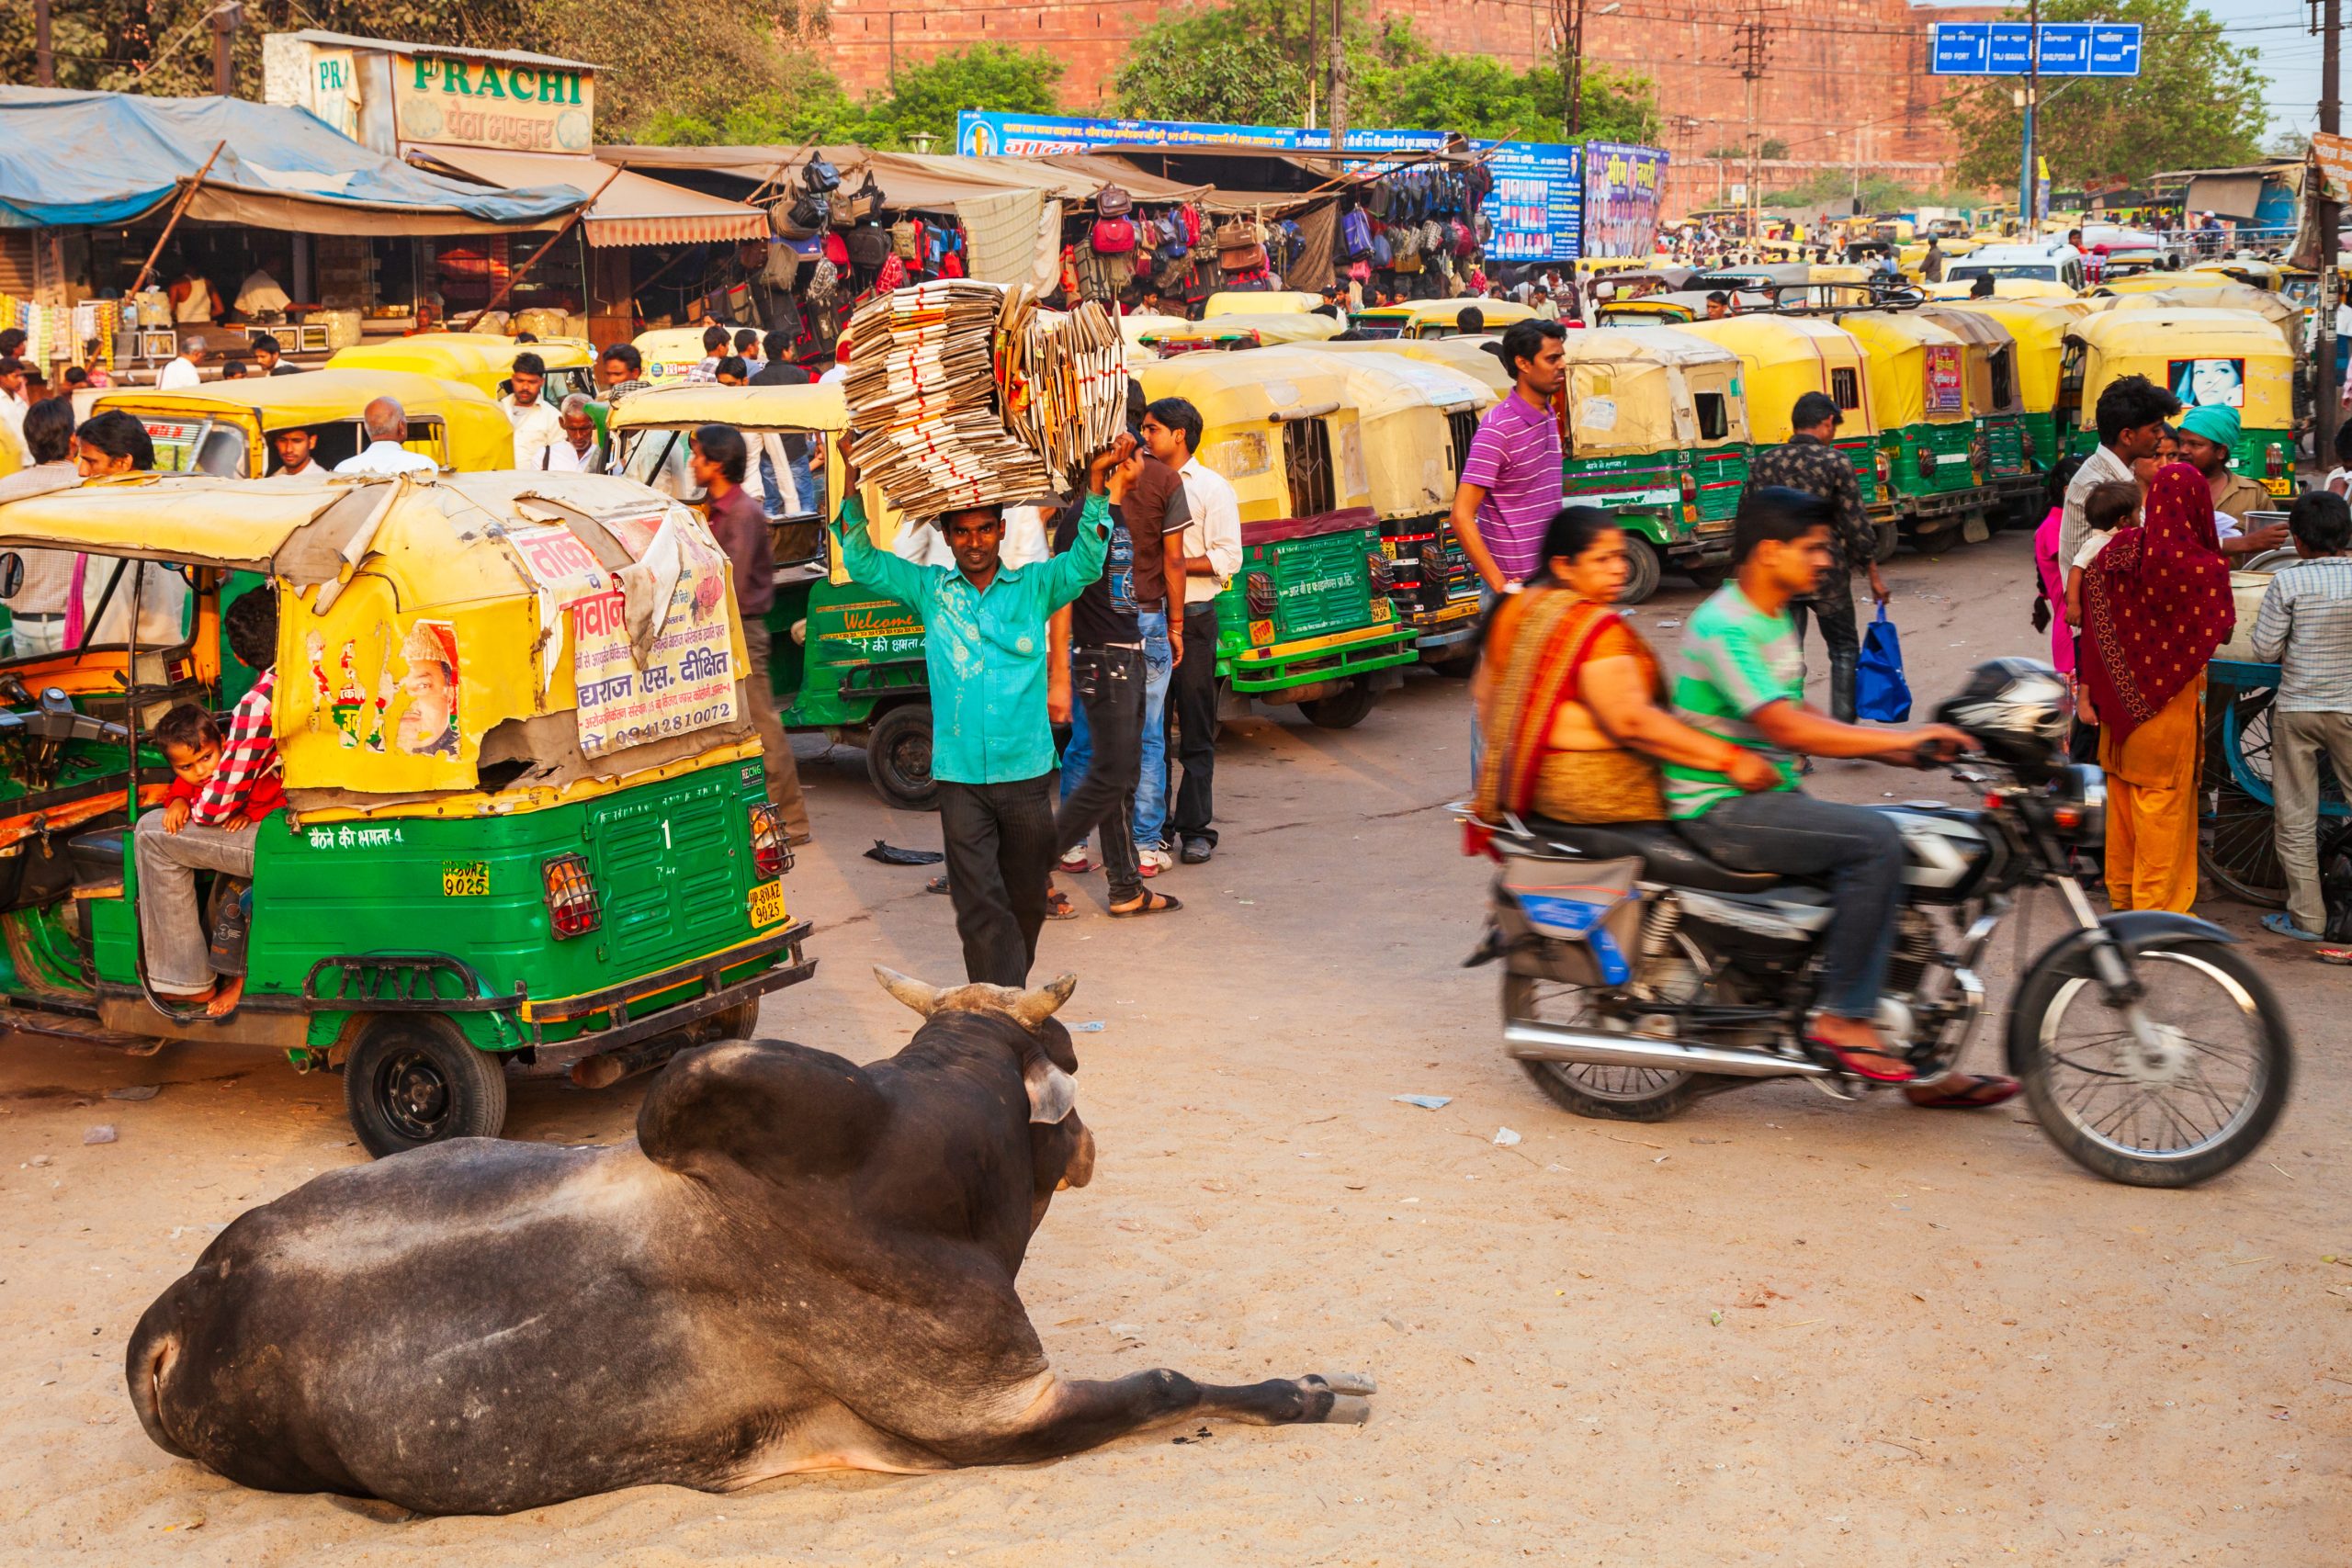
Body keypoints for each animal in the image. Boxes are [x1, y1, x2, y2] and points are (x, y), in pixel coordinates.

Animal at [124, 973, 1374, 1514]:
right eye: (1067, 1053)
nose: (1089, 1149)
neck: (926, 1175)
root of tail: (173, 1318)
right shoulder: (993, 1411)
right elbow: (1167, 1382)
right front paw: (1312, 1391)